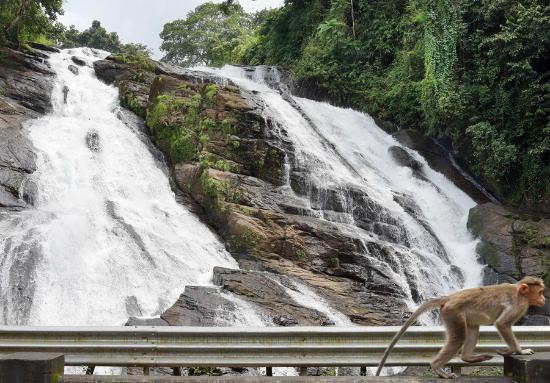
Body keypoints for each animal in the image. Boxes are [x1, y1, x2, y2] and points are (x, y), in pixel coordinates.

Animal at [378, 278, 544, 380]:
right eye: (541, 292)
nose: (544, 298)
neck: (520, 292)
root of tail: (451, 297)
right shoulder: (518, 305)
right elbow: (502, 324)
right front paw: (519, 351)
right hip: (453, 313)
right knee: (459, 338)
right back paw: (438, 368)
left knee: (473, 328)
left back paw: (468, 358)